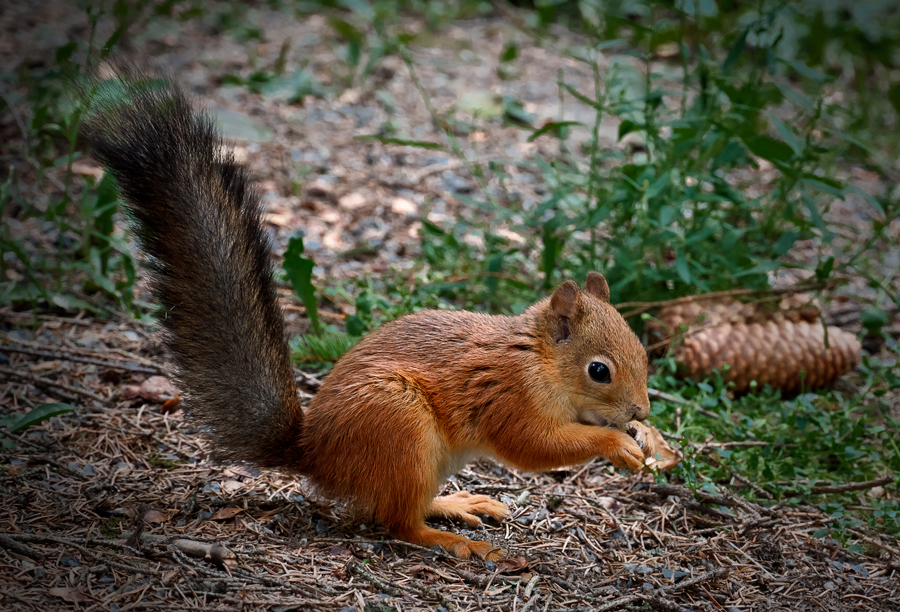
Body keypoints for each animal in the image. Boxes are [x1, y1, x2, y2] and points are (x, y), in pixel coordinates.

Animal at [84, 75, 652, 560]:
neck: (537, 359)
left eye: (644, 353)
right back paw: (452, 541)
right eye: (599, 370)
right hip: (398, 428)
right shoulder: (510, 396)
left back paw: (455, 504)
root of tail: (316, 455)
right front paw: (618, 446)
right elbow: (533, 447)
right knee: (398, 522)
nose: (643, 412)